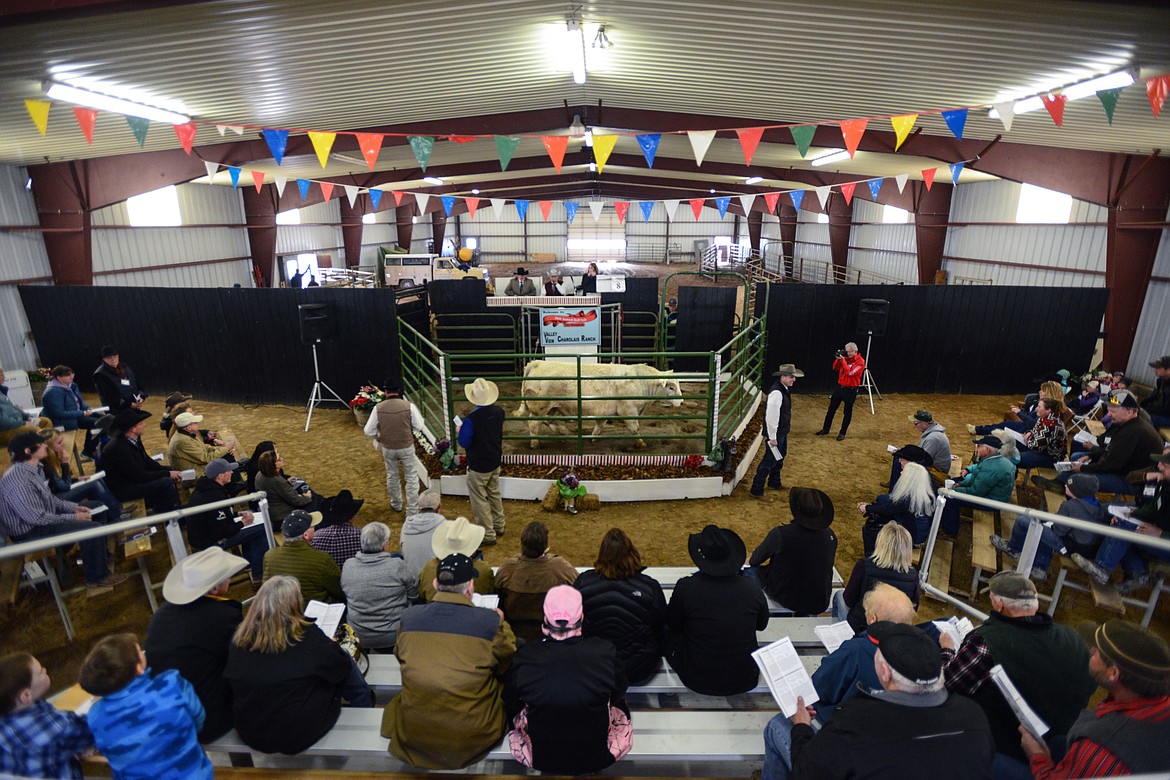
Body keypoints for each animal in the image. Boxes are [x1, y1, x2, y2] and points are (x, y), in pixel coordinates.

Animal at [514, 362, 683, 449]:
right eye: (671, 387)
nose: (681, 402)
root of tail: (538, 363)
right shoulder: (628, 410)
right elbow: (634, 428)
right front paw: (641, 443)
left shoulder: (605, 411)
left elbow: (600, 425)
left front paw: (593, 439)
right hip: (541, 407)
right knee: (533, 423)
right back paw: (535, 443)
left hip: (553, 407)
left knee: (548, 421)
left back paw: (564, 433)